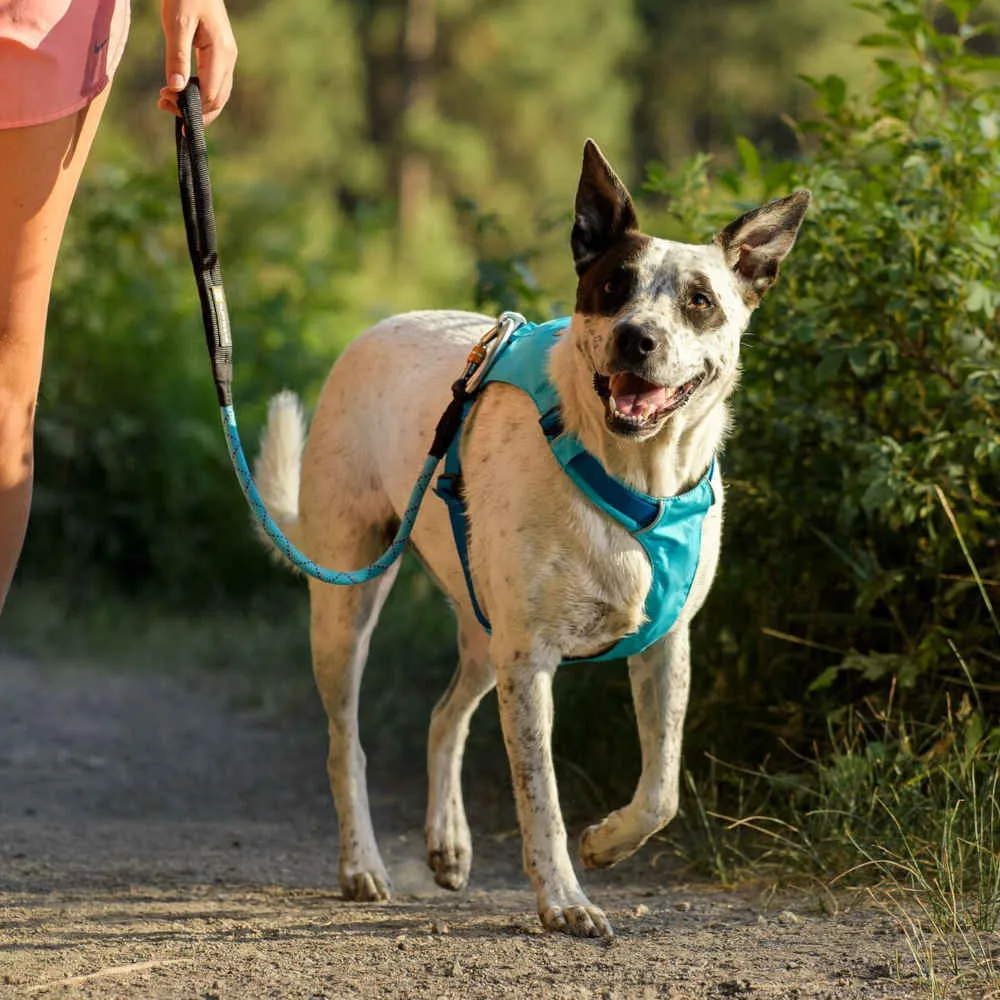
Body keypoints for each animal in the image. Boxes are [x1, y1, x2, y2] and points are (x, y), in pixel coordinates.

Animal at [254, 141, 808, 936]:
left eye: (700, 300)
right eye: (612, 286)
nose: (636, 338)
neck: (633, 479)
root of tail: (377, 326)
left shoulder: (666, 645)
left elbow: (662, 789)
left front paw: (607, 843)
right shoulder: (531, 661)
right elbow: (539, 796)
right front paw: (565, 900)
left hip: (485, 627)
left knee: (443, 715)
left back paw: (449, 843)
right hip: (349, 604)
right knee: (344, 744)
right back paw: (362, 865)